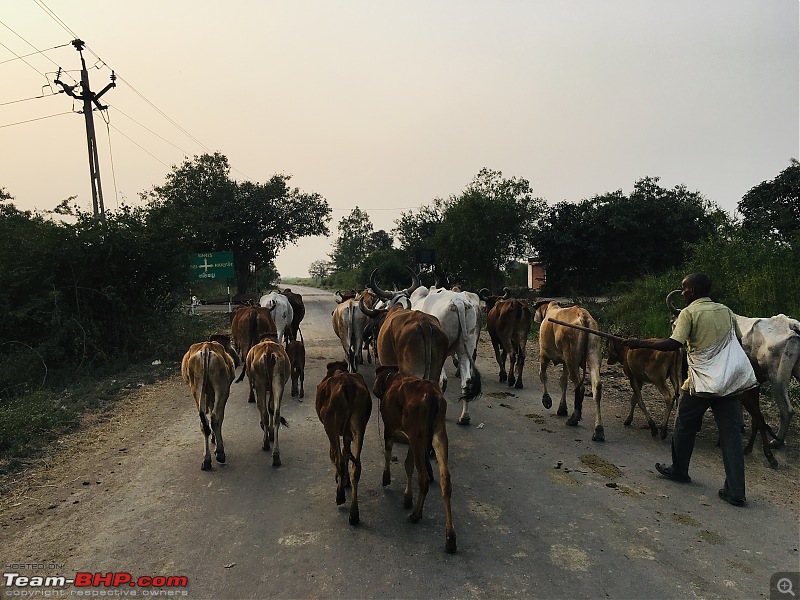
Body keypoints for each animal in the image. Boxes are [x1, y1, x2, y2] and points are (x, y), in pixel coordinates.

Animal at [184, 340, 238, 472]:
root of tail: (206, 347)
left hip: (197, 389)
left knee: (205, 422)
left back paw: (206, 460)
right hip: (222, 388)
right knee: (215, 418)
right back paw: (220, 453)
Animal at [314, 360, 374, 524]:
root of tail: (347, 384)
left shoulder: (332, 429)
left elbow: (335, 455)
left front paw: (340, 479)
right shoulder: (348, 433)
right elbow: (346, 452)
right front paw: (345, 480)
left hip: (331, 425)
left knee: (339, 460)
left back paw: (340, 496)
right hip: (359, 427)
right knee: (356, 466)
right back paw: (354, 514)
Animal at [370, 368, 456, 556]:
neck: (394, 378)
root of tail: (430, 394)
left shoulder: (390, 431)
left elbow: (389, 454)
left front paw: (386, 478)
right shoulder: (410, 440)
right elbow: (408, 466)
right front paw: (407, 497)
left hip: (418, 436)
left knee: (423, 479)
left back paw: (416, 515)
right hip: (438, 434)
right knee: (445, 481)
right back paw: (450, 537)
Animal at [532, 302, 608, 442]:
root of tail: (582, 315)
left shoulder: (543, 354)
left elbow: (543, 375)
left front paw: (546, 400)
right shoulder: (564, 362)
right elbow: (563, 382)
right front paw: (562, 408)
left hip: (571, 358)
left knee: (580, 387)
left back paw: (574, 418)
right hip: (593, 353)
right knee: (597, 387)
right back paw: (598, 429)